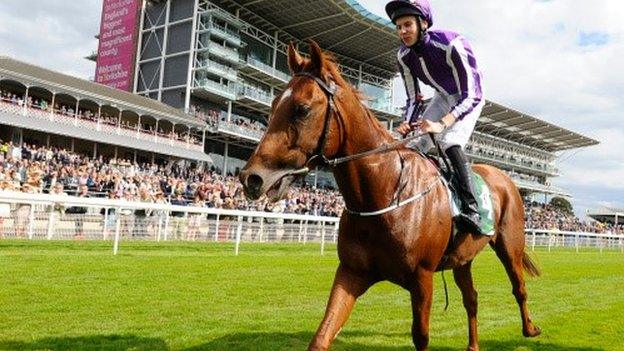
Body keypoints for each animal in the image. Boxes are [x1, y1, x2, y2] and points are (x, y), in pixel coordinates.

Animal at [239, 42, 540, 351]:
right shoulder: (351, 272)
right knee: (472, 298)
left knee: (519, 286)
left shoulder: (422, 278)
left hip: (509, 244)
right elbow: (322, 335)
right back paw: (473, 345)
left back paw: (530, 328)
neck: (383, 193)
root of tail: (505, 177)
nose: (251, 177)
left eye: (302, 109)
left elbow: (421, 336)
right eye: (273, 103)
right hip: (462, 257)